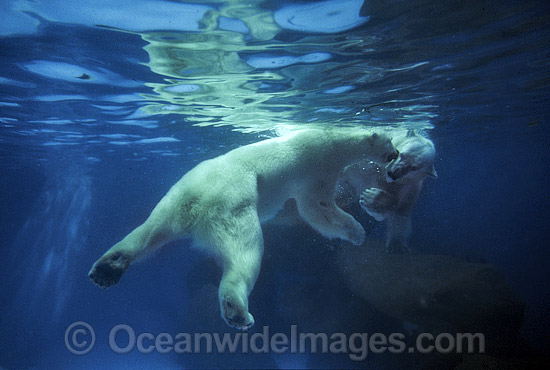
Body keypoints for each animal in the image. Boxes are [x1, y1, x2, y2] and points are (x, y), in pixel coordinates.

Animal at [88, 128, 398, 330]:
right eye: (391, 141)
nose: (395, 155)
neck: (334, 139)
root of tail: (198, 202)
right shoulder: (319, 166)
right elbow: (317, 208)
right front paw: (357, 232)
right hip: (234, 208)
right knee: (246, 254)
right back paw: (237, 311)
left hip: (172, 201)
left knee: (149, 232)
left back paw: (107, 268)